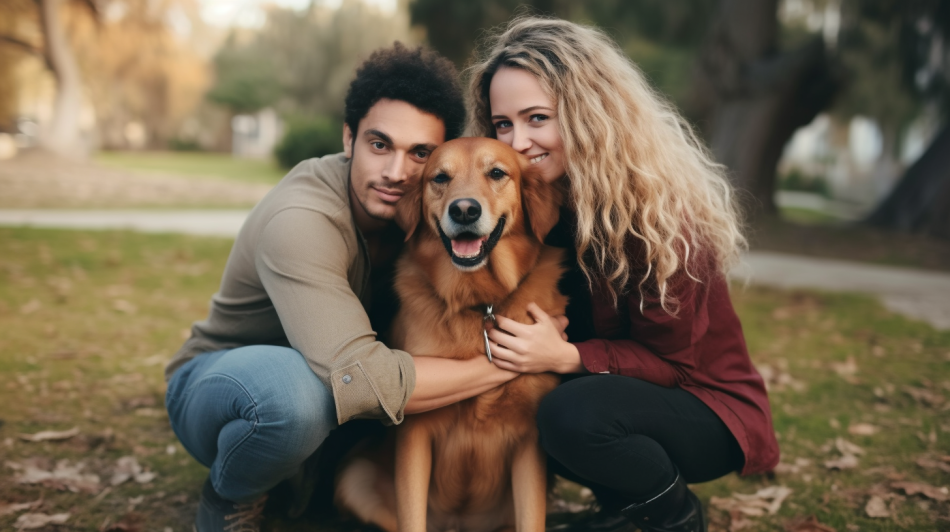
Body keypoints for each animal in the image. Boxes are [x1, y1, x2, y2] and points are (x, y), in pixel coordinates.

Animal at [336, 138, 564, 532]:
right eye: (440, 177)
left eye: (497, 173)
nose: (464, 210)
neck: (479, 303)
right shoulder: (414, 432)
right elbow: (412, 517)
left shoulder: (529, 441)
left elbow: (531, 518)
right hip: (355, 476)